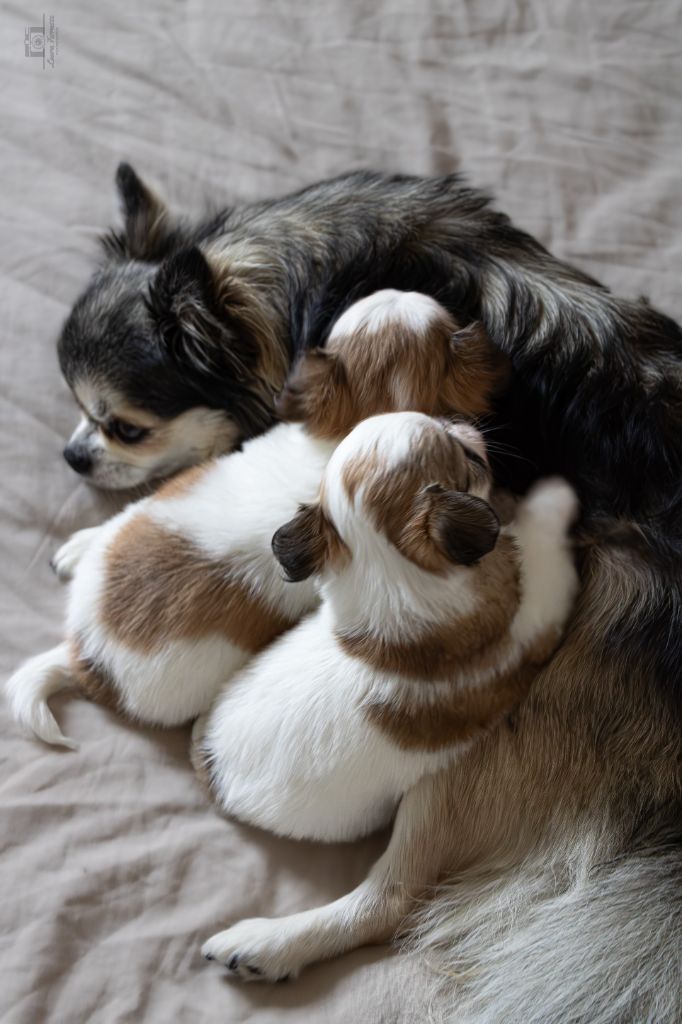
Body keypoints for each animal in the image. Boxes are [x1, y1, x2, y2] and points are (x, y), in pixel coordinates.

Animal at [193, 409, 577, 974]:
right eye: (471, 458)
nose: (463, 423)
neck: (388, 568)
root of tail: (213, 770)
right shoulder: (536, 610)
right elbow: (545, 551)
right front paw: (554, 497)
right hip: (435, 795)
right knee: (386, 902)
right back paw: (265, 945)